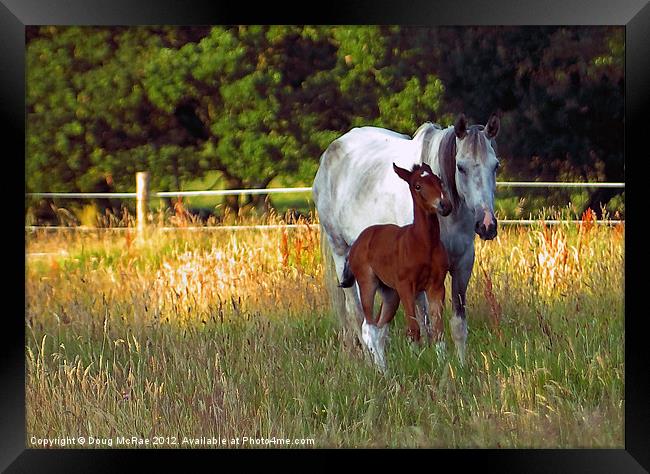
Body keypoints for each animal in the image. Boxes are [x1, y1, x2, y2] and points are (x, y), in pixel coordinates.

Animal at [340, 163, 450, 370]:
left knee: (381, 328)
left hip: (390, 293)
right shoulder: (406, 286)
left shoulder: (437, 286)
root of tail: (358, 241)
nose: (444, 205)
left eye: (439, 181)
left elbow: (438, 330)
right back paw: (382, 370)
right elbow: (414, 329)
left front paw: (447, 367)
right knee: (369, 327)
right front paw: (416, 365)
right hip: (368, 283)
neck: (423, 244)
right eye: (417, 186)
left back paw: (383, 367)